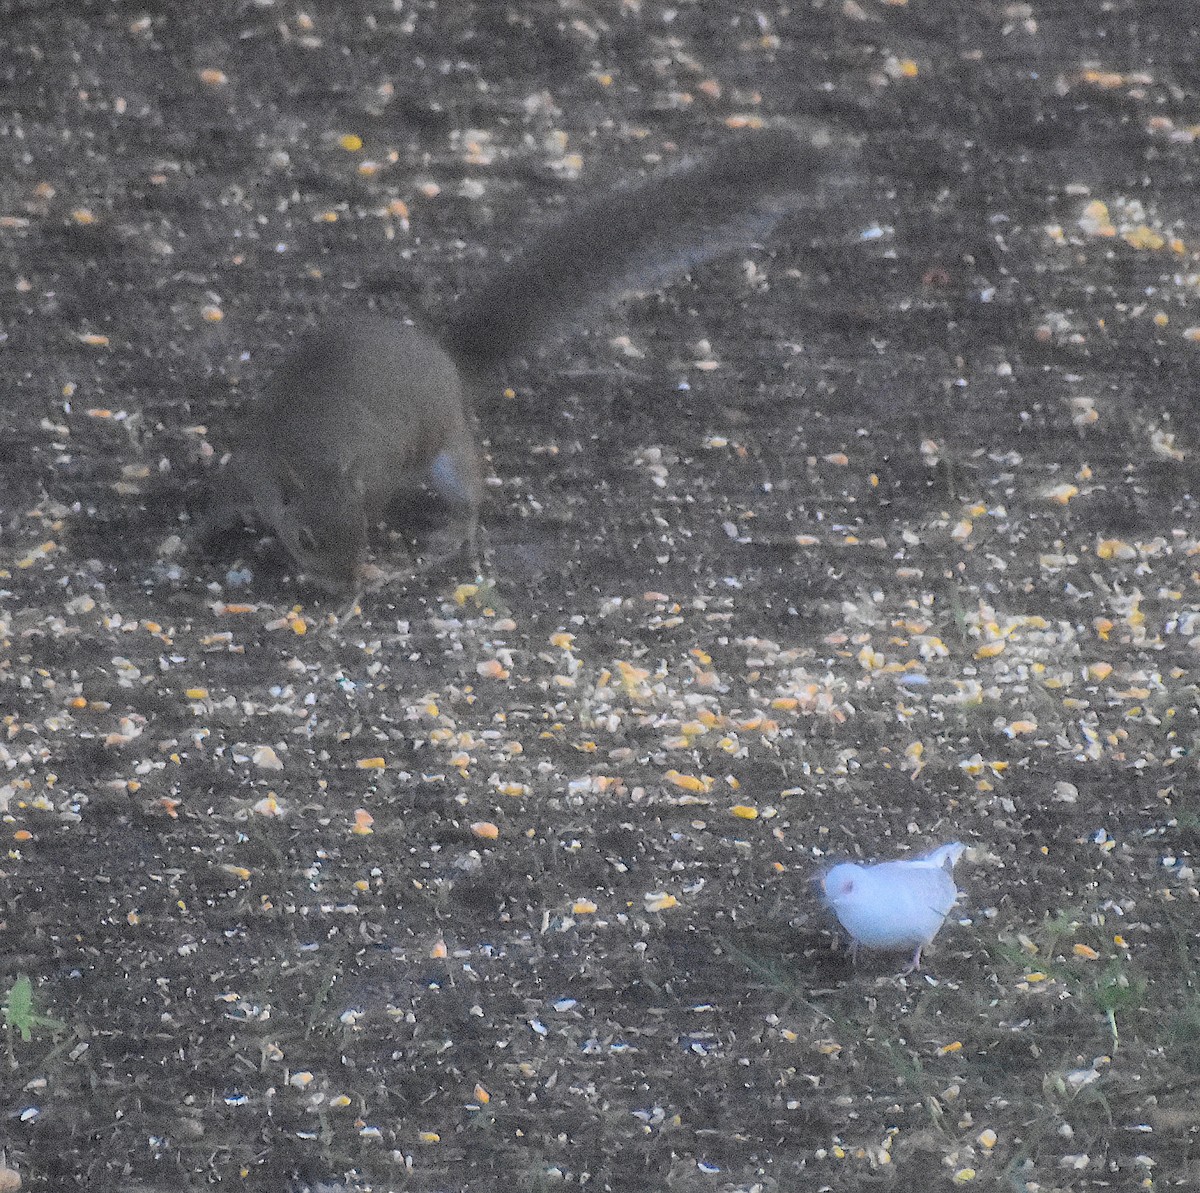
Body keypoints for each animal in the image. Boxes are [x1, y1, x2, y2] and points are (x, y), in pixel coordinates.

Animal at [208, 123, 864, 588]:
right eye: (307, 539)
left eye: (366, 530)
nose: (345, 586)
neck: (317, 449)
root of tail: (441, 354)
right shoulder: (253, 461)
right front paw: (207, 526)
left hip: (449, 446)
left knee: (469, 491)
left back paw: (453, 537)